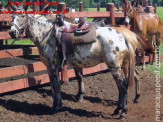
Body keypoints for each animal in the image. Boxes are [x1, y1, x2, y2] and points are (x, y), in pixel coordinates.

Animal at [8, 4, 139, 119]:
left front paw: (57, 107)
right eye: (12, 16)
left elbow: (56, 86)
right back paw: (117, 110)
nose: (12, 32)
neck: (47, 34)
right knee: (121, 86)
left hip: (114, 67)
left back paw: (123, 112)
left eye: (22, 16)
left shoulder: (53, 66)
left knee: (123, 85)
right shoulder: (49, 67)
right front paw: (54, 105)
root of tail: (122, 36)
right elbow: (52, 86)